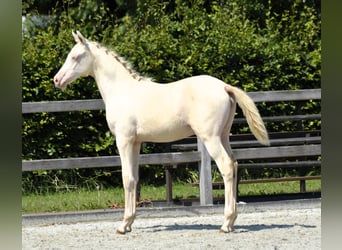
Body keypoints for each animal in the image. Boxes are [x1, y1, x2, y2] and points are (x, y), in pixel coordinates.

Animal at [54, 31, 270, 234]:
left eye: (75, 56)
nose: (57, 80)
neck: (122, 90)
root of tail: (224, 87)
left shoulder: (124, 140)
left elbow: (126, 178)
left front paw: (123, 225)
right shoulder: (135, 142)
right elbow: (135, 178)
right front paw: (129, 223)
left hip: (211, 138)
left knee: (226, 166)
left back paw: (225, 224)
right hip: (223, 136)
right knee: (234, 164)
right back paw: (232, 222)